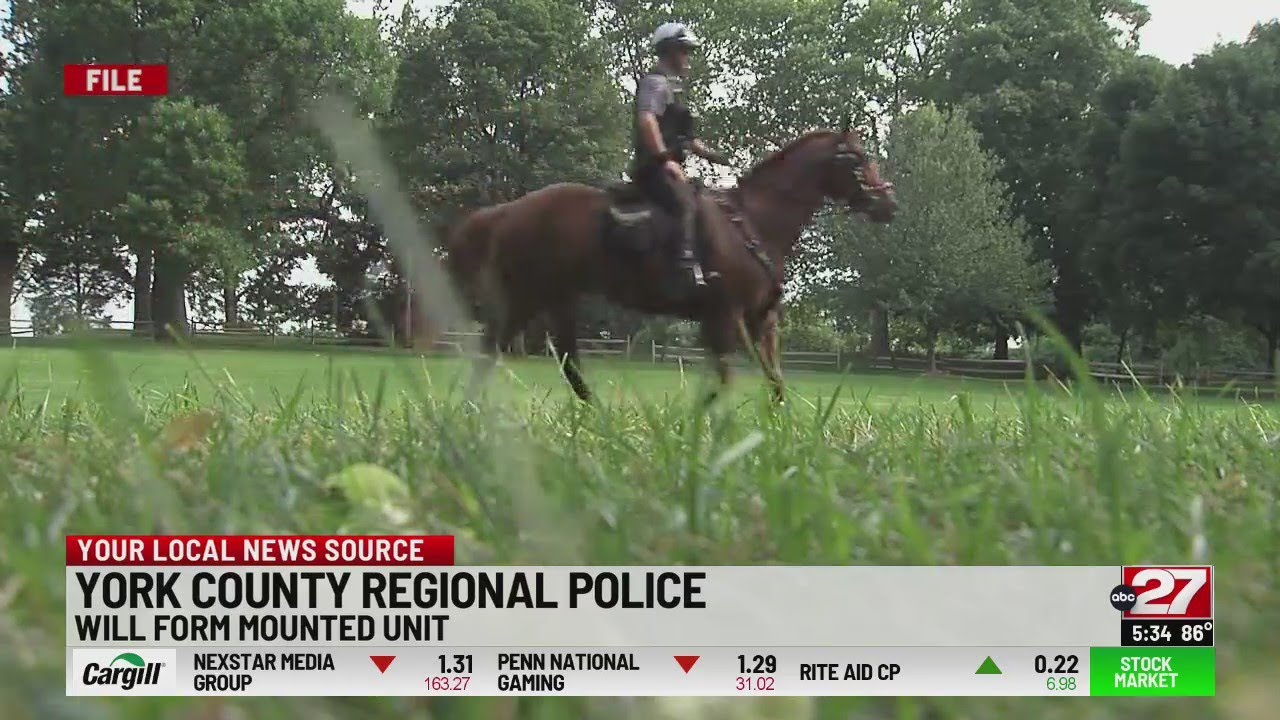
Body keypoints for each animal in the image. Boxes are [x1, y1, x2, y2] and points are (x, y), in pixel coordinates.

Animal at [442, 123, 897, 404]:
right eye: (856, 159)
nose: (888, 203)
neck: (754, 221)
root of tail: (510, 210)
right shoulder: (725, 318)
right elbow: (723, 383)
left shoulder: (761, 322)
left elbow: (775, 383)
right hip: (528, 296)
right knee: (492, 353)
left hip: (558, 300)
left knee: (563, 362)